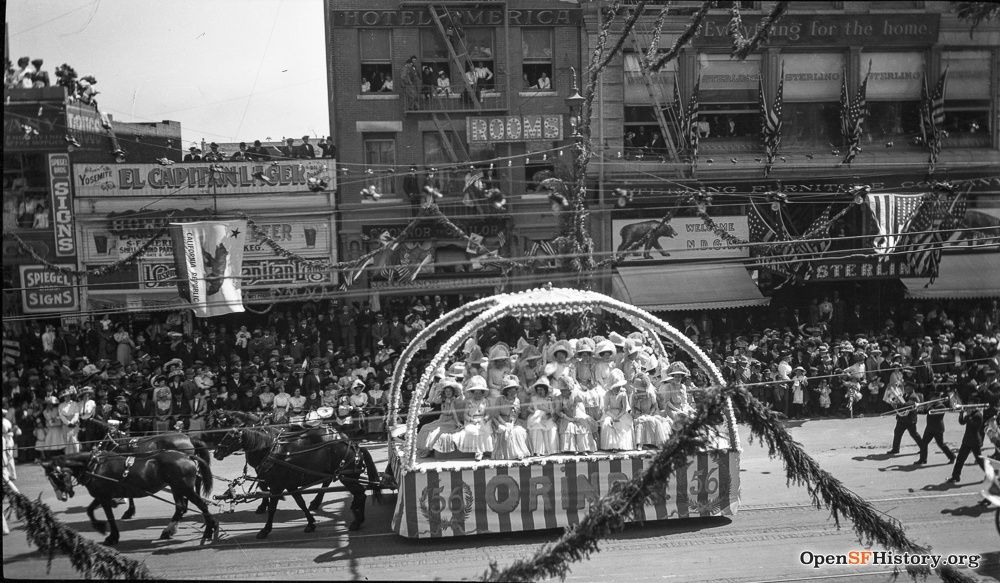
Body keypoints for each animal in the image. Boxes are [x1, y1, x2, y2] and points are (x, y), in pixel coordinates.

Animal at [42, 452, 217, 548]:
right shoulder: (102, 495)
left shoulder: (104, 497)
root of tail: (187, 455)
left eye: (58, 476)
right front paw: (100, 527)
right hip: (177, 488)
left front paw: (111, 536)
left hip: (184, 488)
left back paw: (208, 530)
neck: (95, 466)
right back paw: (169, 531)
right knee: (180, 507)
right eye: (50, 479)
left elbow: (109, 517)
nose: (63, 496)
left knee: (202, 506)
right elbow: (90, 510)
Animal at [213, 424, 380, 540]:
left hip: (346, 478)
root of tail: (355, 446)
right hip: (346, 477)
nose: (216, 453)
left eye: (230, 437)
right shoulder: (290, 485)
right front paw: (311, 523)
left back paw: (356, 521)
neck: (271, 450)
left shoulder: (277, 486)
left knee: (360, 494)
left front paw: (265, 529)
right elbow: (300, 503)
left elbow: (272, 507)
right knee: (358, 494)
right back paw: (355, 516)